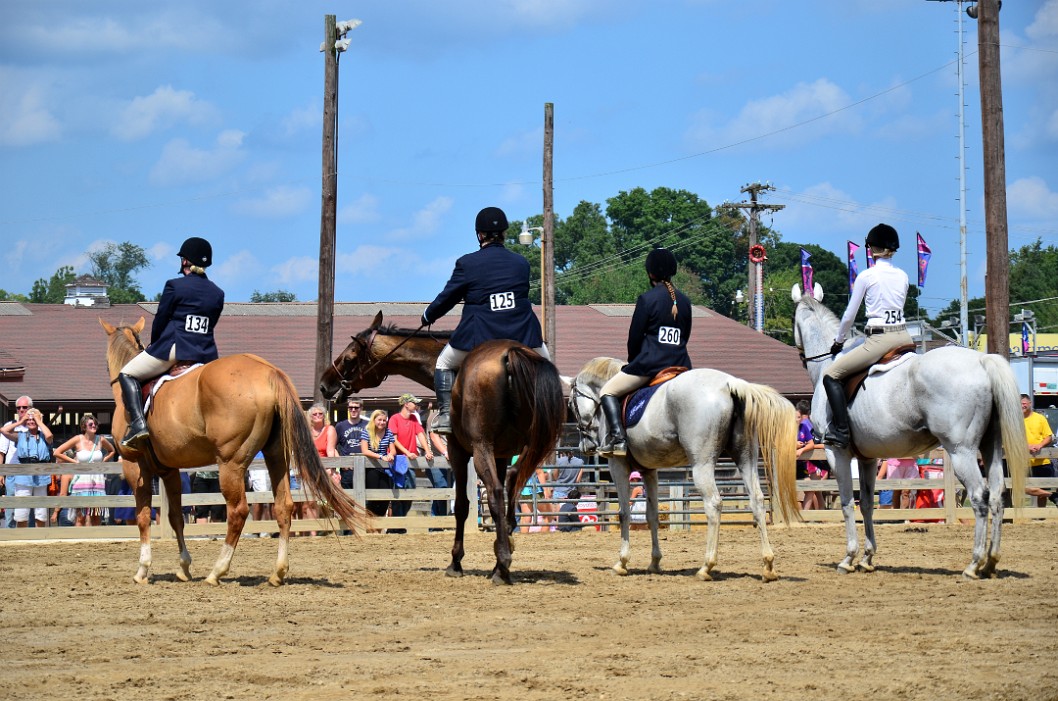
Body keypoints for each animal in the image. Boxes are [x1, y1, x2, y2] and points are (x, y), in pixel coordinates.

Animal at [103, 317, 368, 587]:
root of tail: (269, 372)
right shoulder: (170, 469)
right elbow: (175, 516)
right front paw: (184, 567)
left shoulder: (134, 466)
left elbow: (144, 516)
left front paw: (142, 569)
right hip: (276, 457)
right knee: (283, 506)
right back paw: (278, 572)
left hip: (230, 464)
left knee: (238, 511)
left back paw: (217, 571)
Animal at [317, 312, 567, 587]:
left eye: (349, 358)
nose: (324, 384)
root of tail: (510, 354)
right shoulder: (501, 454)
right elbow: (504, 485)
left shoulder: (459, 452)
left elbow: (462, 505)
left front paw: (456, 561)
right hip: (531, 446)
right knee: (512, 481)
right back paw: (504, 550)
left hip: (482, 449)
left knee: (494, 492)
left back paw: (502, 564)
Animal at [567, 357, 795, 579]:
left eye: (571, 404)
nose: (585, 447)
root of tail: (728, 384)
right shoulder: (649, 471)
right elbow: (652, 514)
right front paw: (654, 562)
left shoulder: (618, 466)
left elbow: (624, 513)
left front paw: (622, 563)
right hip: (746, 458)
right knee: (757, 500)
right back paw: (768, 565)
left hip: (701, 464)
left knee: (714, 504)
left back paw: (706, 567)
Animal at [795, 283, 1024, 579]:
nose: (801, 357)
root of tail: (982, 361)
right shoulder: (868, 458)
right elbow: (866, 504)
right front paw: (867, 557)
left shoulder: (837, 453)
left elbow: (846, 502)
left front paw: (848, 558)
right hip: (990, 446)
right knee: (996, 495)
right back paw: (991, 562)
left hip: (961, 451)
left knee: (979, 496)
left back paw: (973, 564)